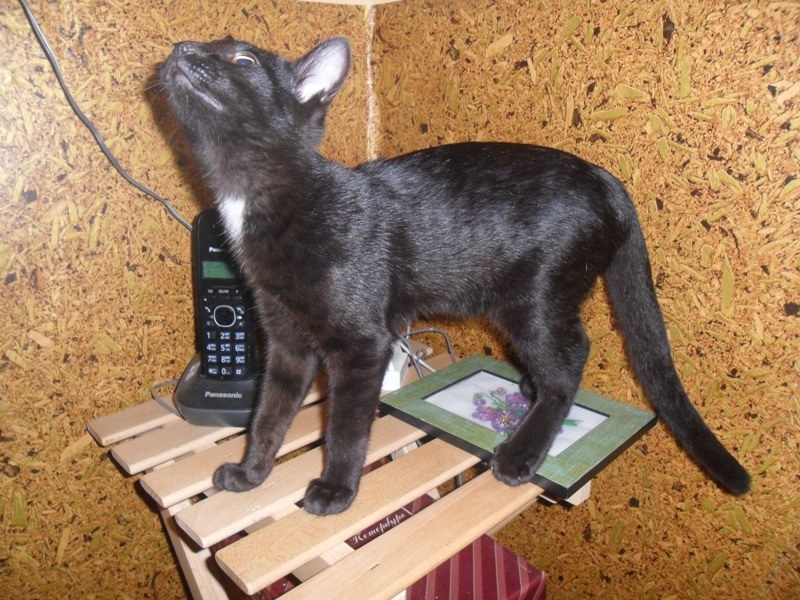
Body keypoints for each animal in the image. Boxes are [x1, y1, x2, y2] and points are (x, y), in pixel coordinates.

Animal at [160, 36, 750, 515]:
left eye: (242, 60)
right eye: (205, 44)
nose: (182, 48)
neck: (256, 197)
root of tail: (604, 177)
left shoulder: (361, 344)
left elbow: (345, 426)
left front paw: (335, 490)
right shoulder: (284, 341)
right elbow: (268, 414)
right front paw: (251, 474)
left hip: (534, 297)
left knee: (571, 361)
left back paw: (521, 452)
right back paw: (528, 391)